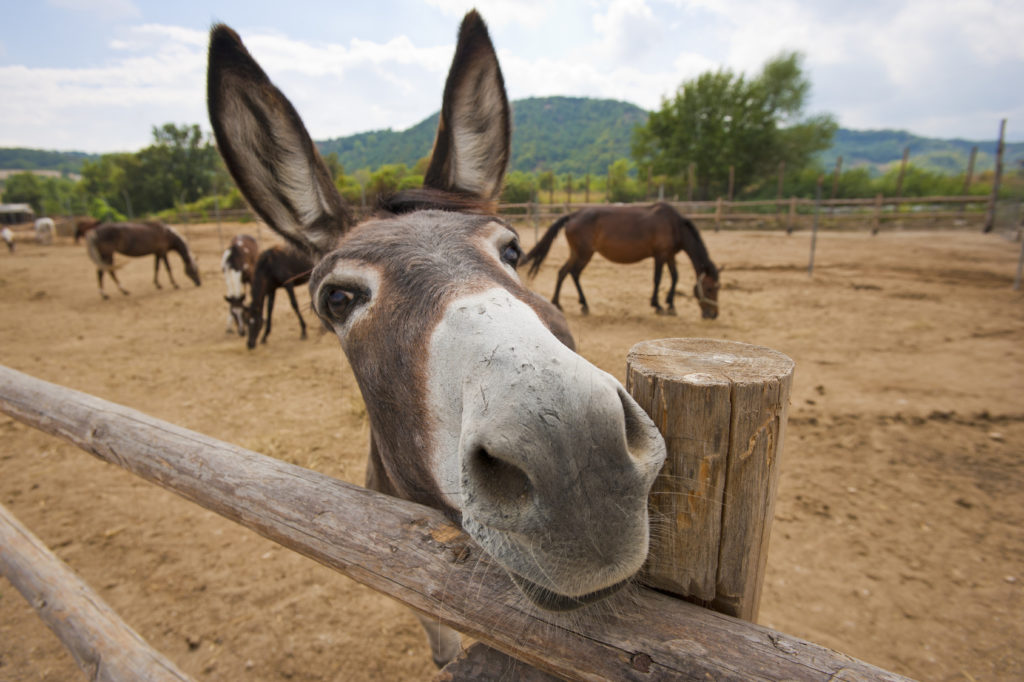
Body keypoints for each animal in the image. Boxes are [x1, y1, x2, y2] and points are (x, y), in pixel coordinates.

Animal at [520, 201, 720, 319]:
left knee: (566, 272)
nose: (713, 314)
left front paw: (670, 305)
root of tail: (573, 215)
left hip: (578, 253)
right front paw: (658, 305)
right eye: (710, 289)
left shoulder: (669, 255)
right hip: (584, 254)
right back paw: (575, 304)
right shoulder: (660, 255)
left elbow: (675, 277)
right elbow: (657, 279)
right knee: (570, 272)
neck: (674, 225)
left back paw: (567, 303)